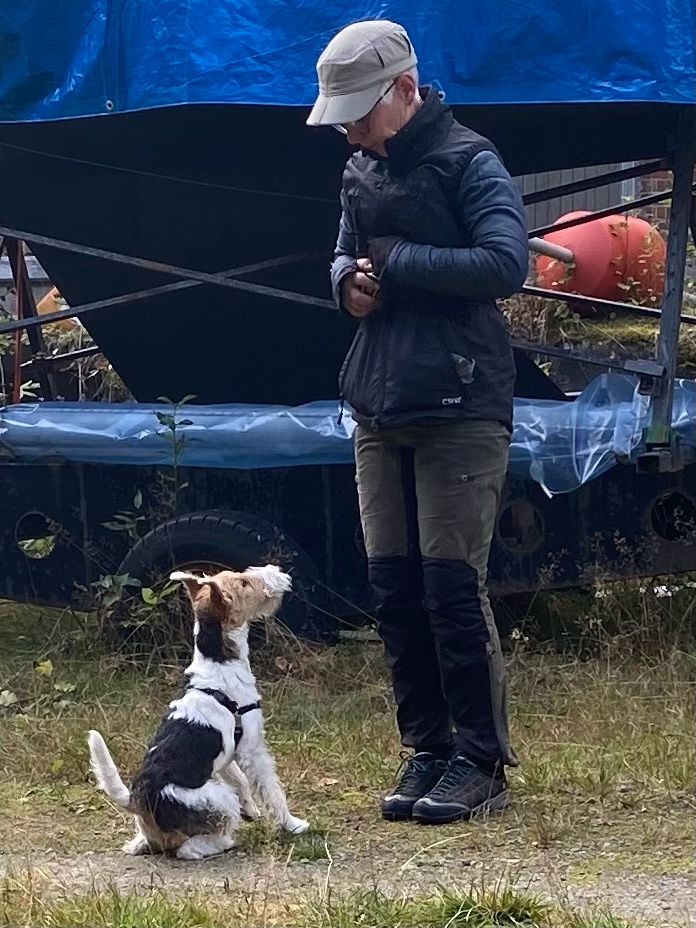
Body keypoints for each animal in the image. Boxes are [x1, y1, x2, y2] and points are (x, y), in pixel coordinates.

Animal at [87, 564, 309, 860]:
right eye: (243, 583)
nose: (277, 571)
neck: (218, 661)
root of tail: (137, 799)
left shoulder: (229, 751)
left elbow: (241, 781)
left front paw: (252, 811)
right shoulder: (252, 748)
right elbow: (272, 791)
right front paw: (293, 825)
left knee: (150, 842)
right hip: (218, 799)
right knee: (189, 849)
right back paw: (226, 841)